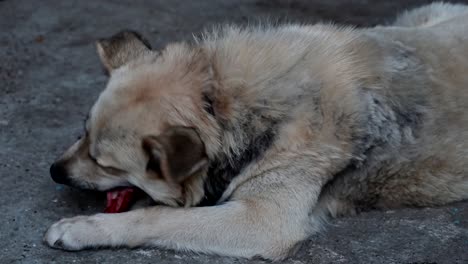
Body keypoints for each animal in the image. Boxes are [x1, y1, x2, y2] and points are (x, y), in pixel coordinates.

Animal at [44, 2, 468, 260]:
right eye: (82, 132)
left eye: (105, 164)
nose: (54, 172)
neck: (220, 97)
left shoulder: (264, 220)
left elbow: (159, 218)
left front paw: (85, 229)